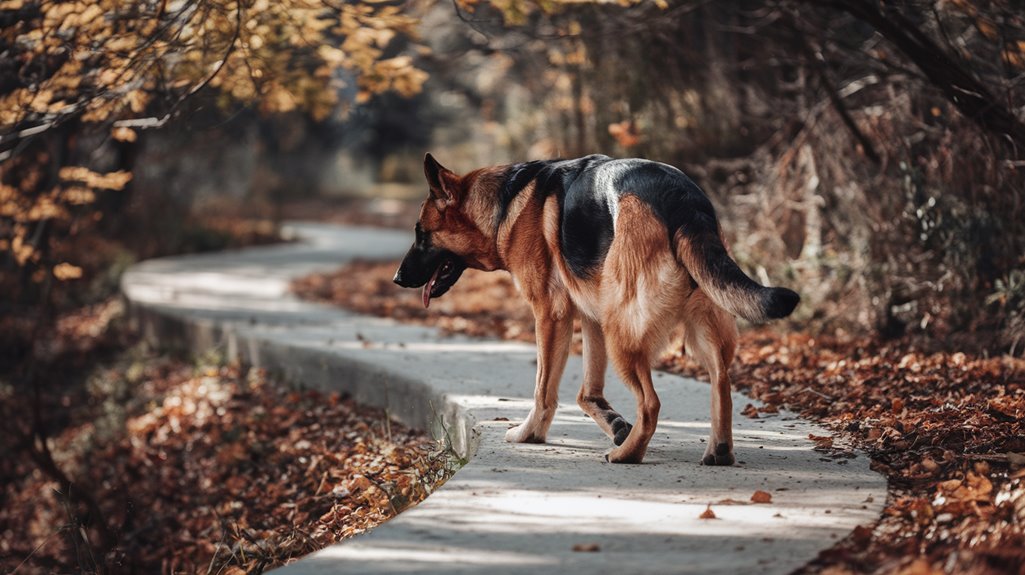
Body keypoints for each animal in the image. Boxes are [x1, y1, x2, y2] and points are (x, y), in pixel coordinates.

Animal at [391, 154, 799, 463]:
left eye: (420, 234)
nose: (396, 277)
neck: (504, 204)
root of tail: (682, 203)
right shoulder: (590, 316)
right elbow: (587, 391)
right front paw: (614, 424)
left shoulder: (551, 314)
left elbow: (543, 389)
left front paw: (530, 434)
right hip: (697, 327)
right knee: (722, 381)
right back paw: (718, 450)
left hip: (623, 333)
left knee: (651, 403)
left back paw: (628, 454)